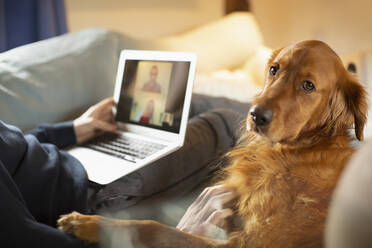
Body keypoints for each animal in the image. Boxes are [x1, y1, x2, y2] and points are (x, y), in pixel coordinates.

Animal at [57, 40, 366, 248]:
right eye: (274, 70)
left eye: (308, 86)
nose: (256, 115)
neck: (295, 153)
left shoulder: (249, 243)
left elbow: (153, 227)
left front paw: (87, 223)